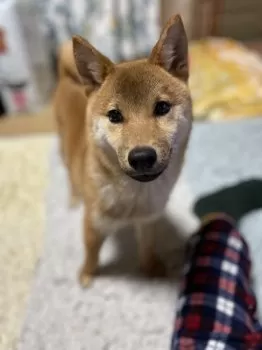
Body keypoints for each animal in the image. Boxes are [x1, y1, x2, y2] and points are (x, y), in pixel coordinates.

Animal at [53, 14, 192, 288]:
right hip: (63, 147)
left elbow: (147, 248)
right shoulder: (93, 223)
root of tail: (66, 78)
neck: (135, 197)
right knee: (69, 173)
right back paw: (73, 197)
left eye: (162, 107)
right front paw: (87, 274)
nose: (142, 157)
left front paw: (151, 268)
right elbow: (91, 254)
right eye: (114, 115)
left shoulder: (148, 220)